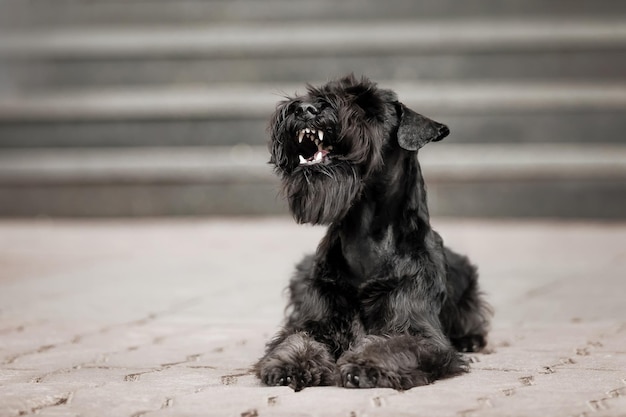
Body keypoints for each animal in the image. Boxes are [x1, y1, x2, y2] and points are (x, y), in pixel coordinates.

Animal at [251, 75, 490, 390]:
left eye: (366, 104)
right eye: (320, 92)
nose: (304, 108)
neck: (364, 233)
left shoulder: (419, 330)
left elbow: (396, 344)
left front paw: (365, 364)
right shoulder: (318, 319)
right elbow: (297, 336)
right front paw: (291, 363)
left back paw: (470, 338)